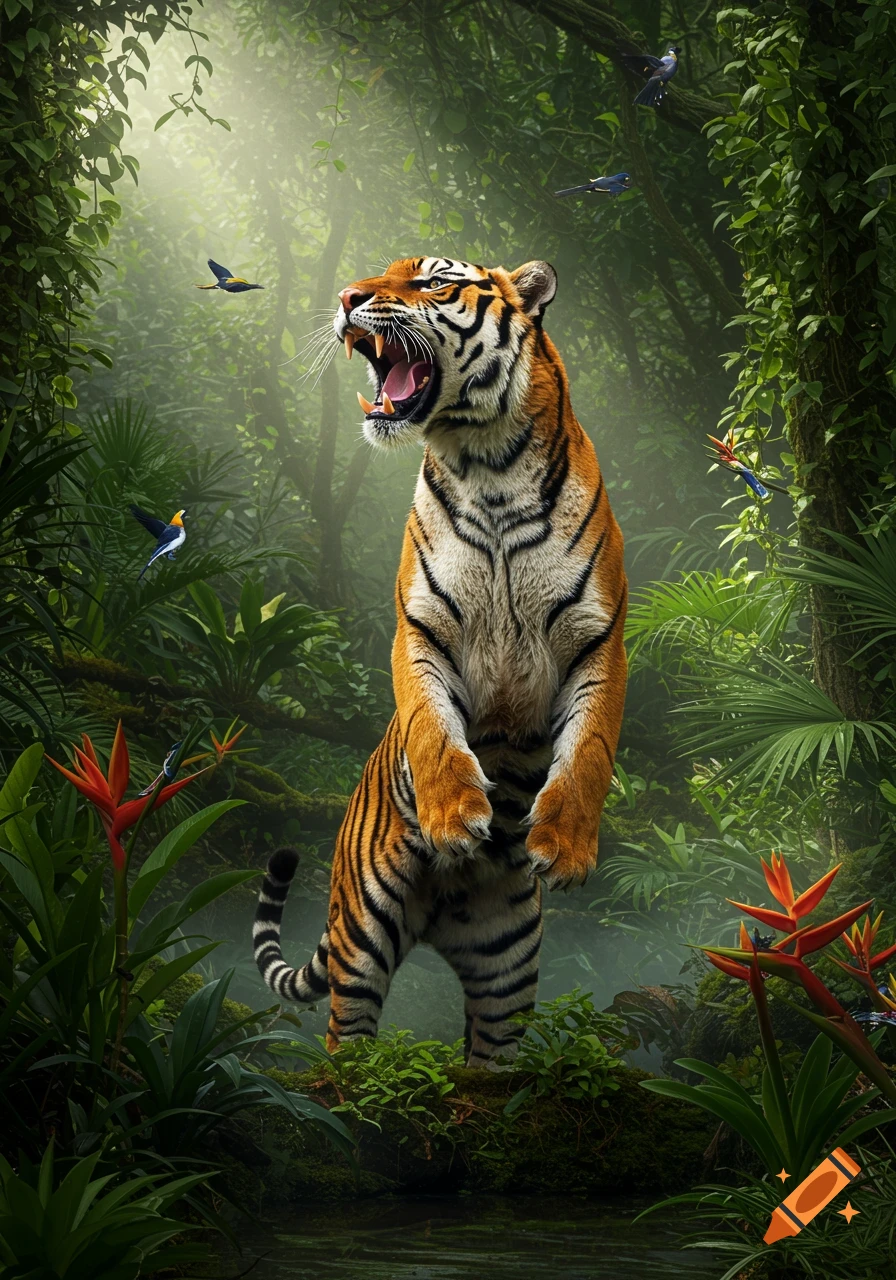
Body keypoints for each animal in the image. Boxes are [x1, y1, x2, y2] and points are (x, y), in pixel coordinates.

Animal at [253, 255, 627, 1066]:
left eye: (429, 282)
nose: (347, 298)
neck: (489, 465)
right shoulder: (420, 628)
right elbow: (431, 726)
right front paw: (456, 819)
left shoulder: (598, 639)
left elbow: (589, 751)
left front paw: (564, 848)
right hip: (361, 938)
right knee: (346, 1044)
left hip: (507, 972)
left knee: (489, 1061)